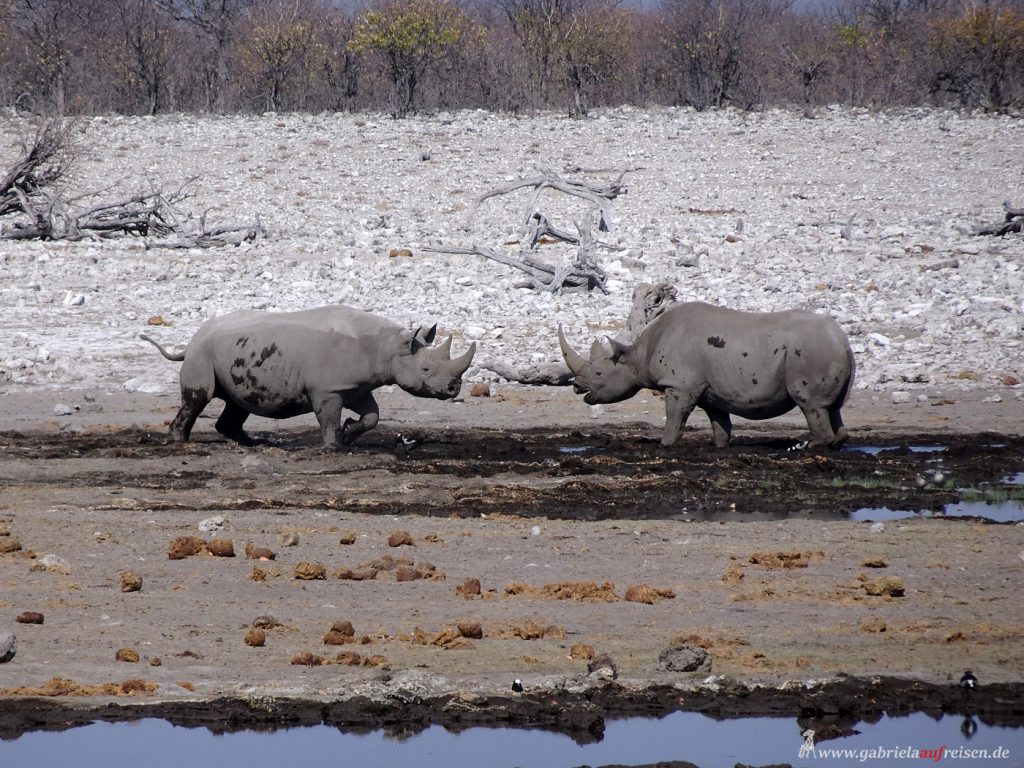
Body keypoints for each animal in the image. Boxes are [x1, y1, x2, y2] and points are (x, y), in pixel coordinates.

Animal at [141, 304, 475, 448]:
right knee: (199, 398)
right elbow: (328, 419)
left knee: (237, 403)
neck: (387, 346)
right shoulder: (328, 389)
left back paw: (251, 443)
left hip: (229, 351)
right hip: (202, 353)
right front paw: (334, 446)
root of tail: (190, 341)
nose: (454, 387)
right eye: (426, 370)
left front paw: (349, 432)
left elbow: (373, 416)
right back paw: (181, 442)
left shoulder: (355, 386)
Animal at [558, 302, 854, 448]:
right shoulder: (713, 391)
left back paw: (805, 446)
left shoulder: (679, 385)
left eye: (598, 372)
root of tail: (843, 342)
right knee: (833, 407)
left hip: (810, 352)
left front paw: (664, 445)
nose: (577, 387)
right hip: (825, 350)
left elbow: (674, 416)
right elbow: (719, 422)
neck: (637, 356)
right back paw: (834, 443)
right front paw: (720, 446)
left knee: (810, 404)